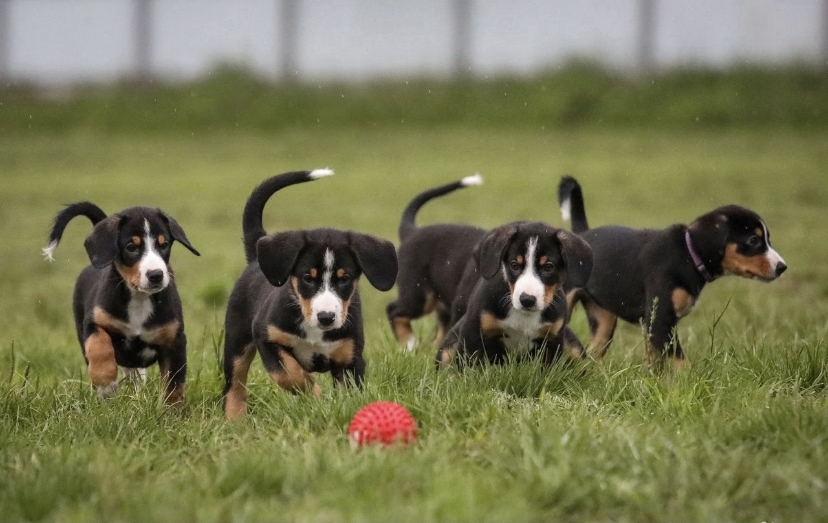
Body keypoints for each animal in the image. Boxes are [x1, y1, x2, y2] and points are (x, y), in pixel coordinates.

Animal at [43, 203, 201, 404]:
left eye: (164, 244)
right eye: (131, 247)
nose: (156, 275)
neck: (139, 299)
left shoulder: (174, 340)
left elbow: (174, 383)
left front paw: (172, 409)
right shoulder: (94, 322)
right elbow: (99, 347)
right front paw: (105, 383)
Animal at [223, 170, 398, 424]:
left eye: (344, 278)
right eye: (307, 277)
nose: (326, 317)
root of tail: (256, 258)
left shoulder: (350, 359)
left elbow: (350, 393)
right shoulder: (266, 336)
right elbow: (289, 374)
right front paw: (315, 393)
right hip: (237, 340)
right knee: (235, 382)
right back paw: (235, 419)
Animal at [436, 220, 592, 368]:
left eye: (549, 267)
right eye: (514, 265)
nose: (527, 299)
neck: (524, 316)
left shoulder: (552, 339)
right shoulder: (472, 333)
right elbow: (466, 369)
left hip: (573, 347)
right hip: (450, 343)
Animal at [560, 174, 784, 366]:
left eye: (767, 239)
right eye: (753, 240)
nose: (782, 267)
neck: (687, 255)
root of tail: (583, 233)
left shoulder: (653, 326)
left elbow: (655, 363)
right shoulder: (661, 320)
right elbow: (680, 362)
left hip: (603, 321)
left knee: (593, 352)